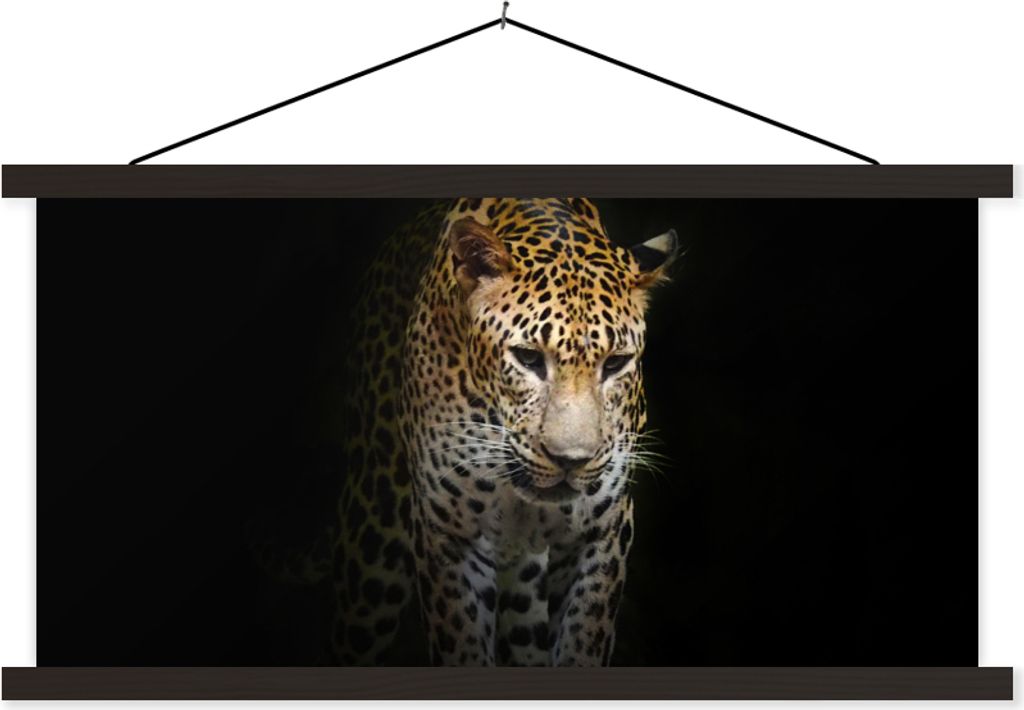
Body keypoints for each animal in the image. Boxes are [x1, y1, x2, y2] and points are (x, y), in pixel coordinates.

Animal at [264, 198, 677, 666]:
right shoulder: (448, 536)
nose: (570, 461)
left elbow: (583, 642)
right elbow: (460, 643)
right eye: (528, 358)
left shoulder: (601, 536)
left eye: (615, 363)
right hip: (373, 547)